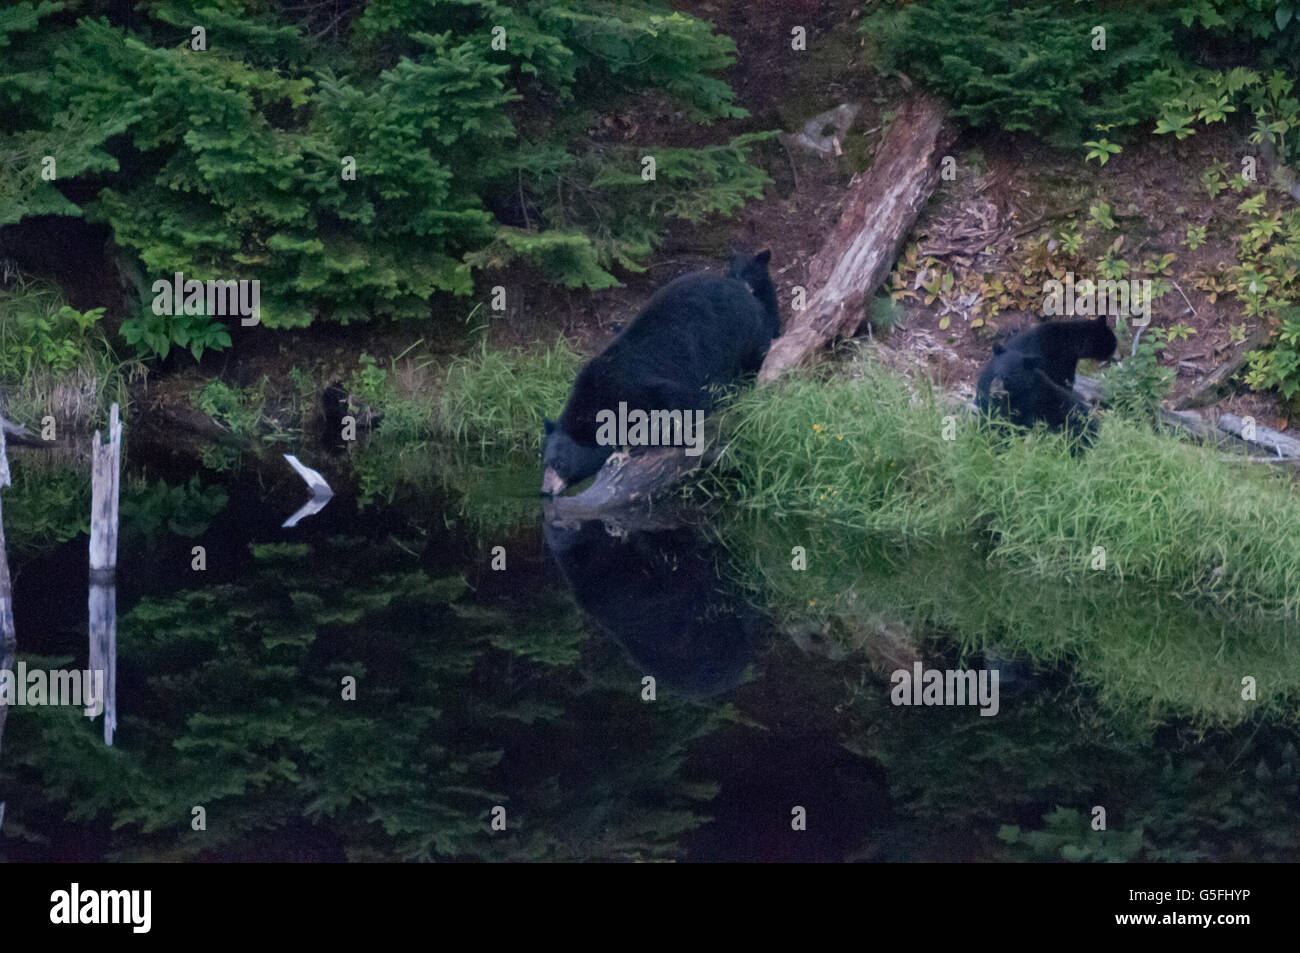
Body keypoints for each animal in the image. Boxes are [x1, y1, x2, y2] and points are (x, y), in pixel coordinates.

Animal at [540, 249, 774, 494]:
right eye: (545, 463)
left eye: (561, 464)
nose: (546, 490)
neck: (599, 395)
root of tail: (746, 293)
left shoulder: (638, 386)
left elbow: (677, 404)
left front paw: (646, 441)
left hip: (744, 336)